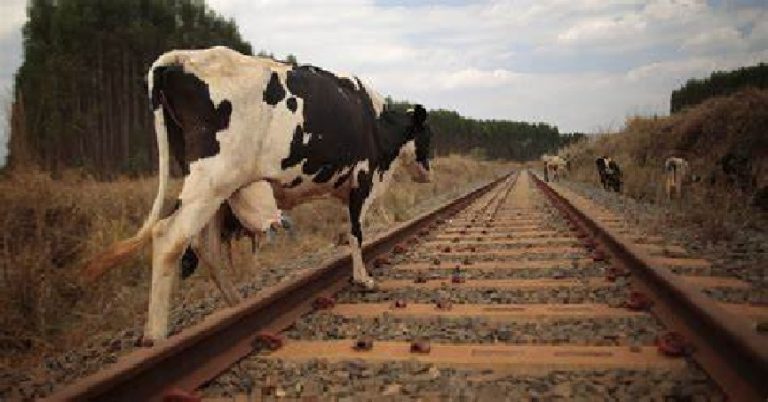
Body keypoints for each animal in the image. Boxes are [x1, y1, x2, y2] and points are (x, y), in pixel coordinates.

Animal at [83, 46, 432, 343]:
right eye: (428, 134)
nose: (428, 172)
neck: (374, 119)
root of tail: (182, 58)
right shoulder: (363, 180)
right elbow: (357, 233)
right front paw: (364, 279)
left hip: (214, 185)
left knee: (206, 245)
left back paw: (238, 306)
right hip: (212, 178)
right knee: (169, 237)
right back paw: (155, 337)